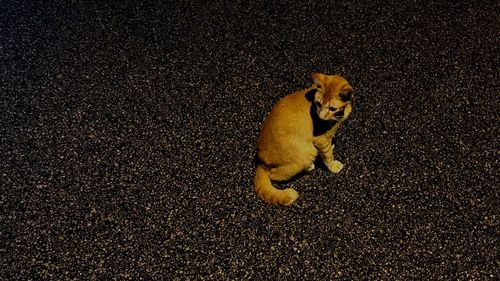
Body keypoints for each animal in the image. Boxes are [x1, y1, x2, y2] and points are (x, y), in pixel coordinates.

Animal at [256, 72, 354, 205]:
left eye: (332, 108)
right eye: (318, 103)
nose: (321, 116)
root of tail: (261, 161)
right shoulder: (320, 140)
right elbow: (328, 156)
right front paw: (333, 166)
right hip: (306, 153)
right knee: (274, 175)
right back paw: (309, 166)